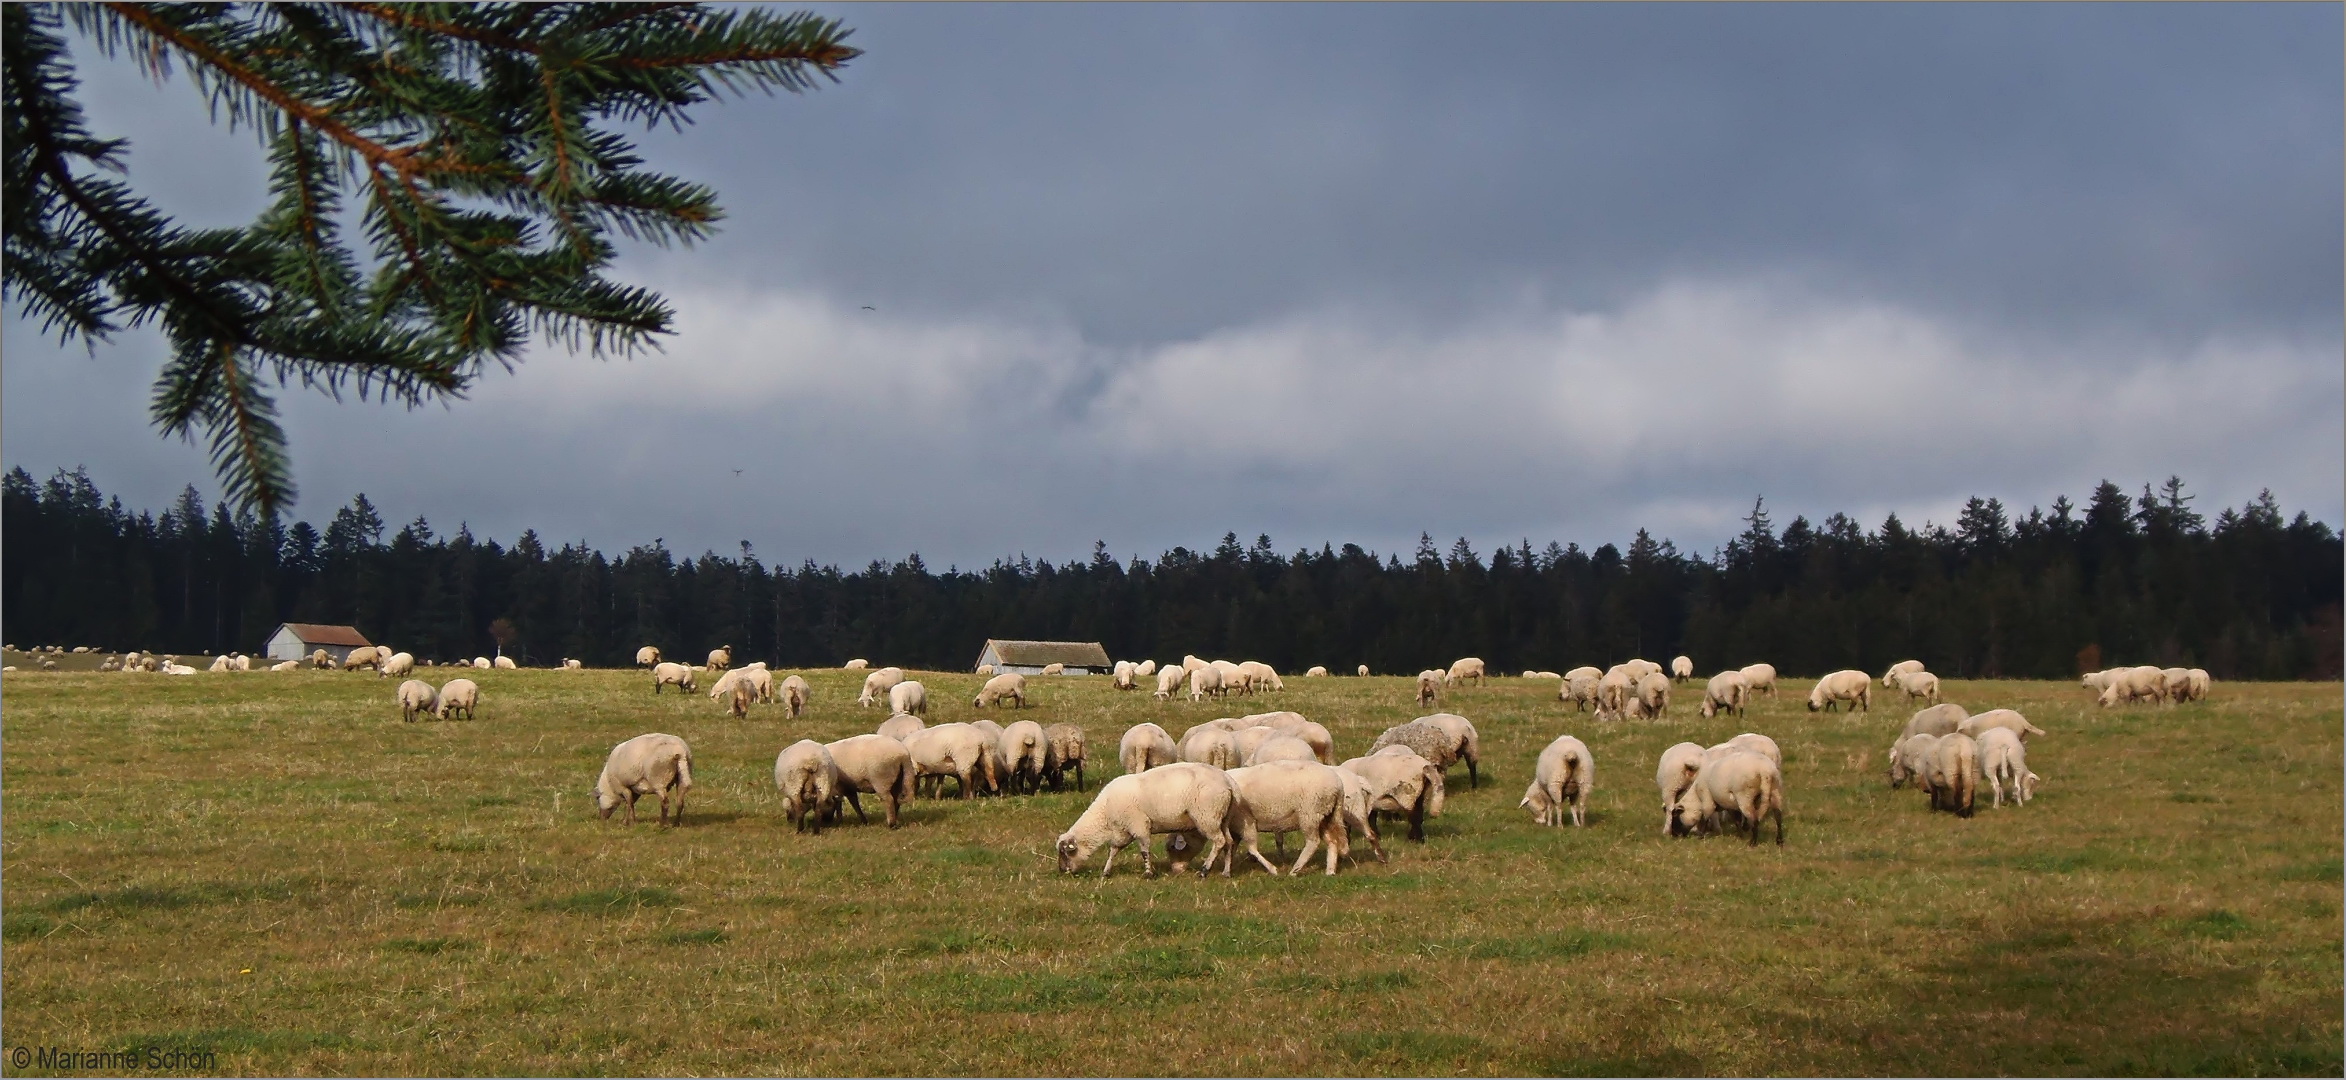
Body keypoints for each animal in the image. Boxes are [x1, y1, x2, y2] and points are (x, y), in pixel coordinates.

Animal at [1060, 760, 1248, 878]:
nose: (1062, 872)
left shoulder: (1139, 825)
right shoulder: (1123, 831)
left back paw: (1204, 870)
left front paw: (1148, 873)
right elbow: (1114, 850)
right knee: (1229, 842)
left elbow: (1144, 850)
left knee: (1219, 841)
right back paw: (1226, 872)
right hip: (1223, 817)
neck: (1103, 814)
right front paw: (1106, 872)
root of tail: (1229, 783)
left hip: (1207, 816)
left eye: (1065, 853)